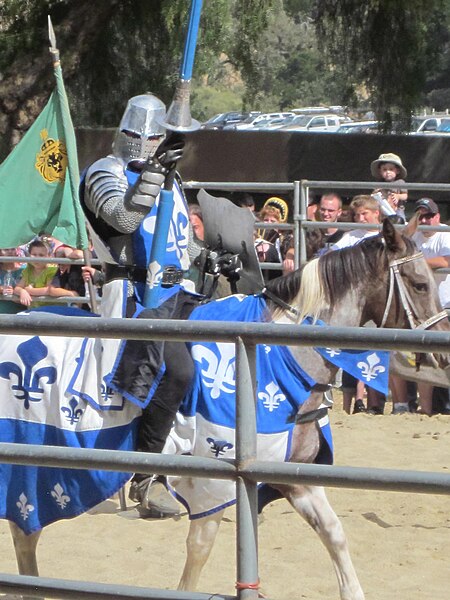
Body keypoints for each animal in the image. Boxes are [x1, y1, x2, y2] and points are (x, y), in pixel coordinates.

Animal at [3, 219, 450, 600]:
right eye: (419, 284)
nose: (442, 353)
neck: (277, 356)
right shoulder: (213, 484)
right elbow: (199, 550)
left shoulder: (295, 478)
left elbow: (334, 532)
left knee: (26, 535)